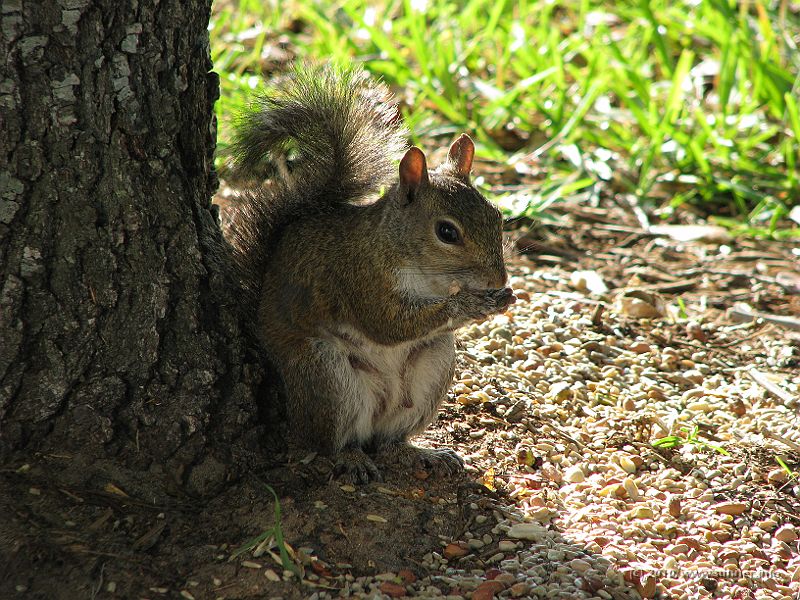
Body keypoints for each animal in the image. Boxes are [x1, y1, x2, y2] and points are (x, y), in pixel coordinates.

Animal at [225, 66, 514, 483]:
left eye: (497, 215)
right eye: (447, 232)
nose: (497, 281)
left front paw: (501, 299)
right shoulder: (358, 279)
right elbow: (388, 325)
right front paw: (472, 303)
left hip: (434, 364)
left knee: (388, 440)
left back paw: (421, 453)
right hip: (325, 374)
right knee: (329, 442)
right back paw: (350, 458)